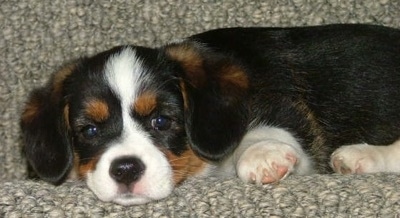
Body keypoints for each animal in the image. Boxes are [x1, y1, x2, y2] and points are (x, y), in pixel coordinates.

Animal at [20, 24, 400, 205]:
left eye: (162, 121)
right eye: (90, 131)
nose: (125, 169)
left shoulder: (288, 117)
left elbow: (264, 132)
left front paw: (262, 156)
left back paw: (360, 155)